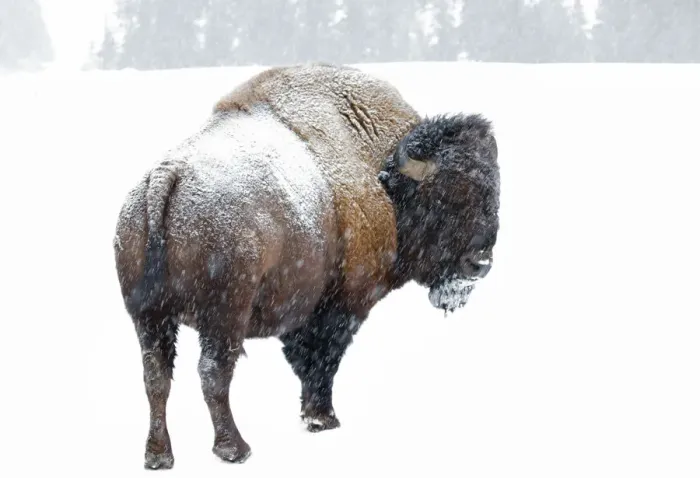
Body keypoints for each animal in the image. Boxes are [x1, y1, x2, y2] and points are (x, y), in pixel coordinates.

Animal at [113, 63, 500, 469]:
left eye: (494, 193)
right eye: (445, 198)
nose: (480, 263)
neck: (382, 174)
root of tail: (166, 177)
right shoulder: (342, 306)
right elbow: (321, 361)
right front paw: (323, 419)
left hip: (150, 317)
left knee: (156, 376)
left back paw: (158, 455)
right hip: (223, 316)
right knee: (213, 372)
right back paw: (235, 448)